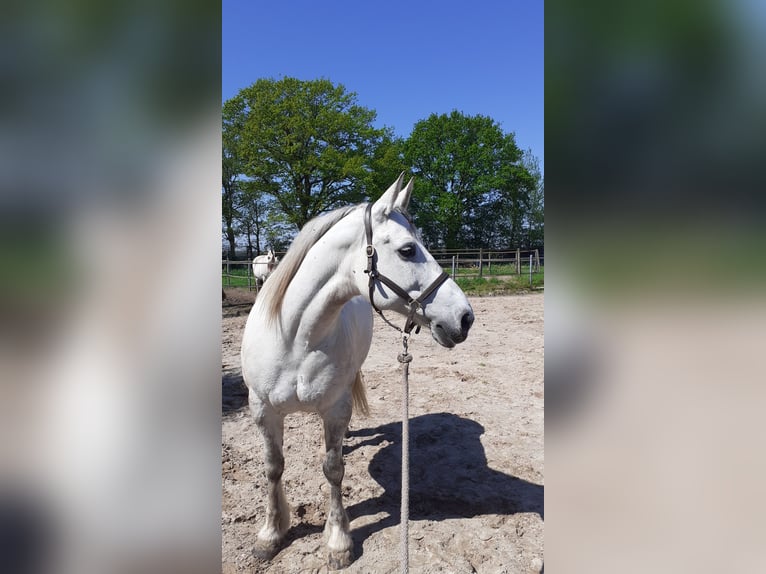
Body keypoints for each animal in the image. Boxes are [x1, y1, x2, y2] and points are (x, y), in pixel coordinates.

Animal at [240, 173, 475, 569]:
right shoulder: (263, 409)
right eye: (408, 250)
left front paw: (338, 542)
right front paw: (270, 534)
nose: (465, 318)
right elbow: (273, 468)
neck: (294, 338)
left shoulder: (335, 409)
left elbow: (333, 470)